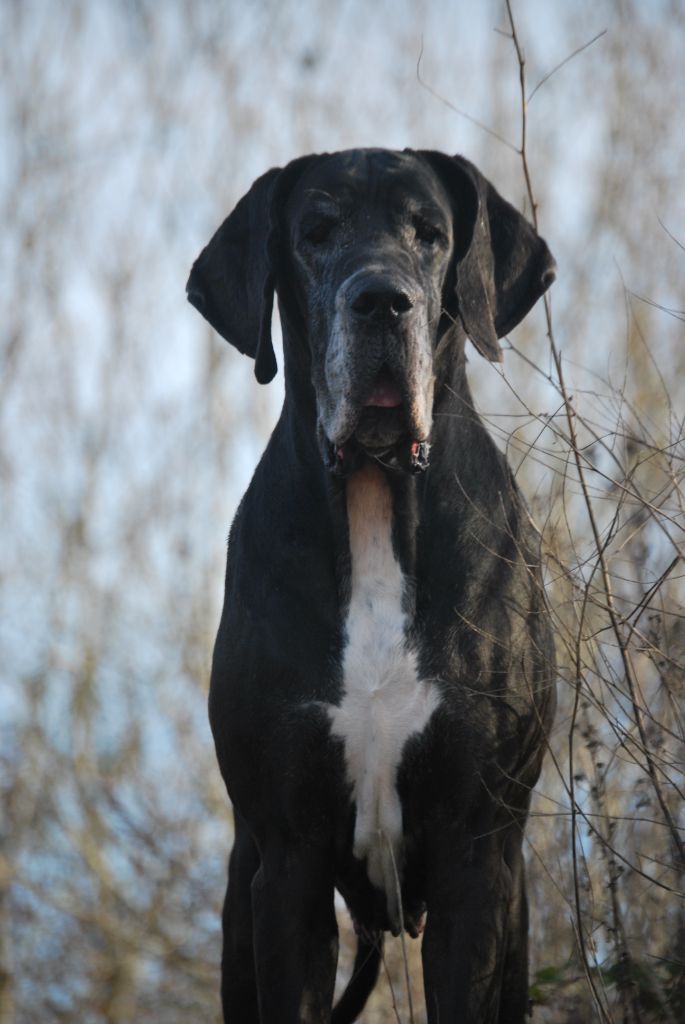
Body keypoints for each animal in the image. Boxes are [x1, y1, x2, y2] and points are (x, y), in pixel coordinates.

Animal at [185, 146, 557, 1024]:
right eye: (315, 233)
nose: (382, 300)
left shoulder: (476, 856)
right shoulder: (287, 864)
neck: (373, 500)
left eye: (430, 234)